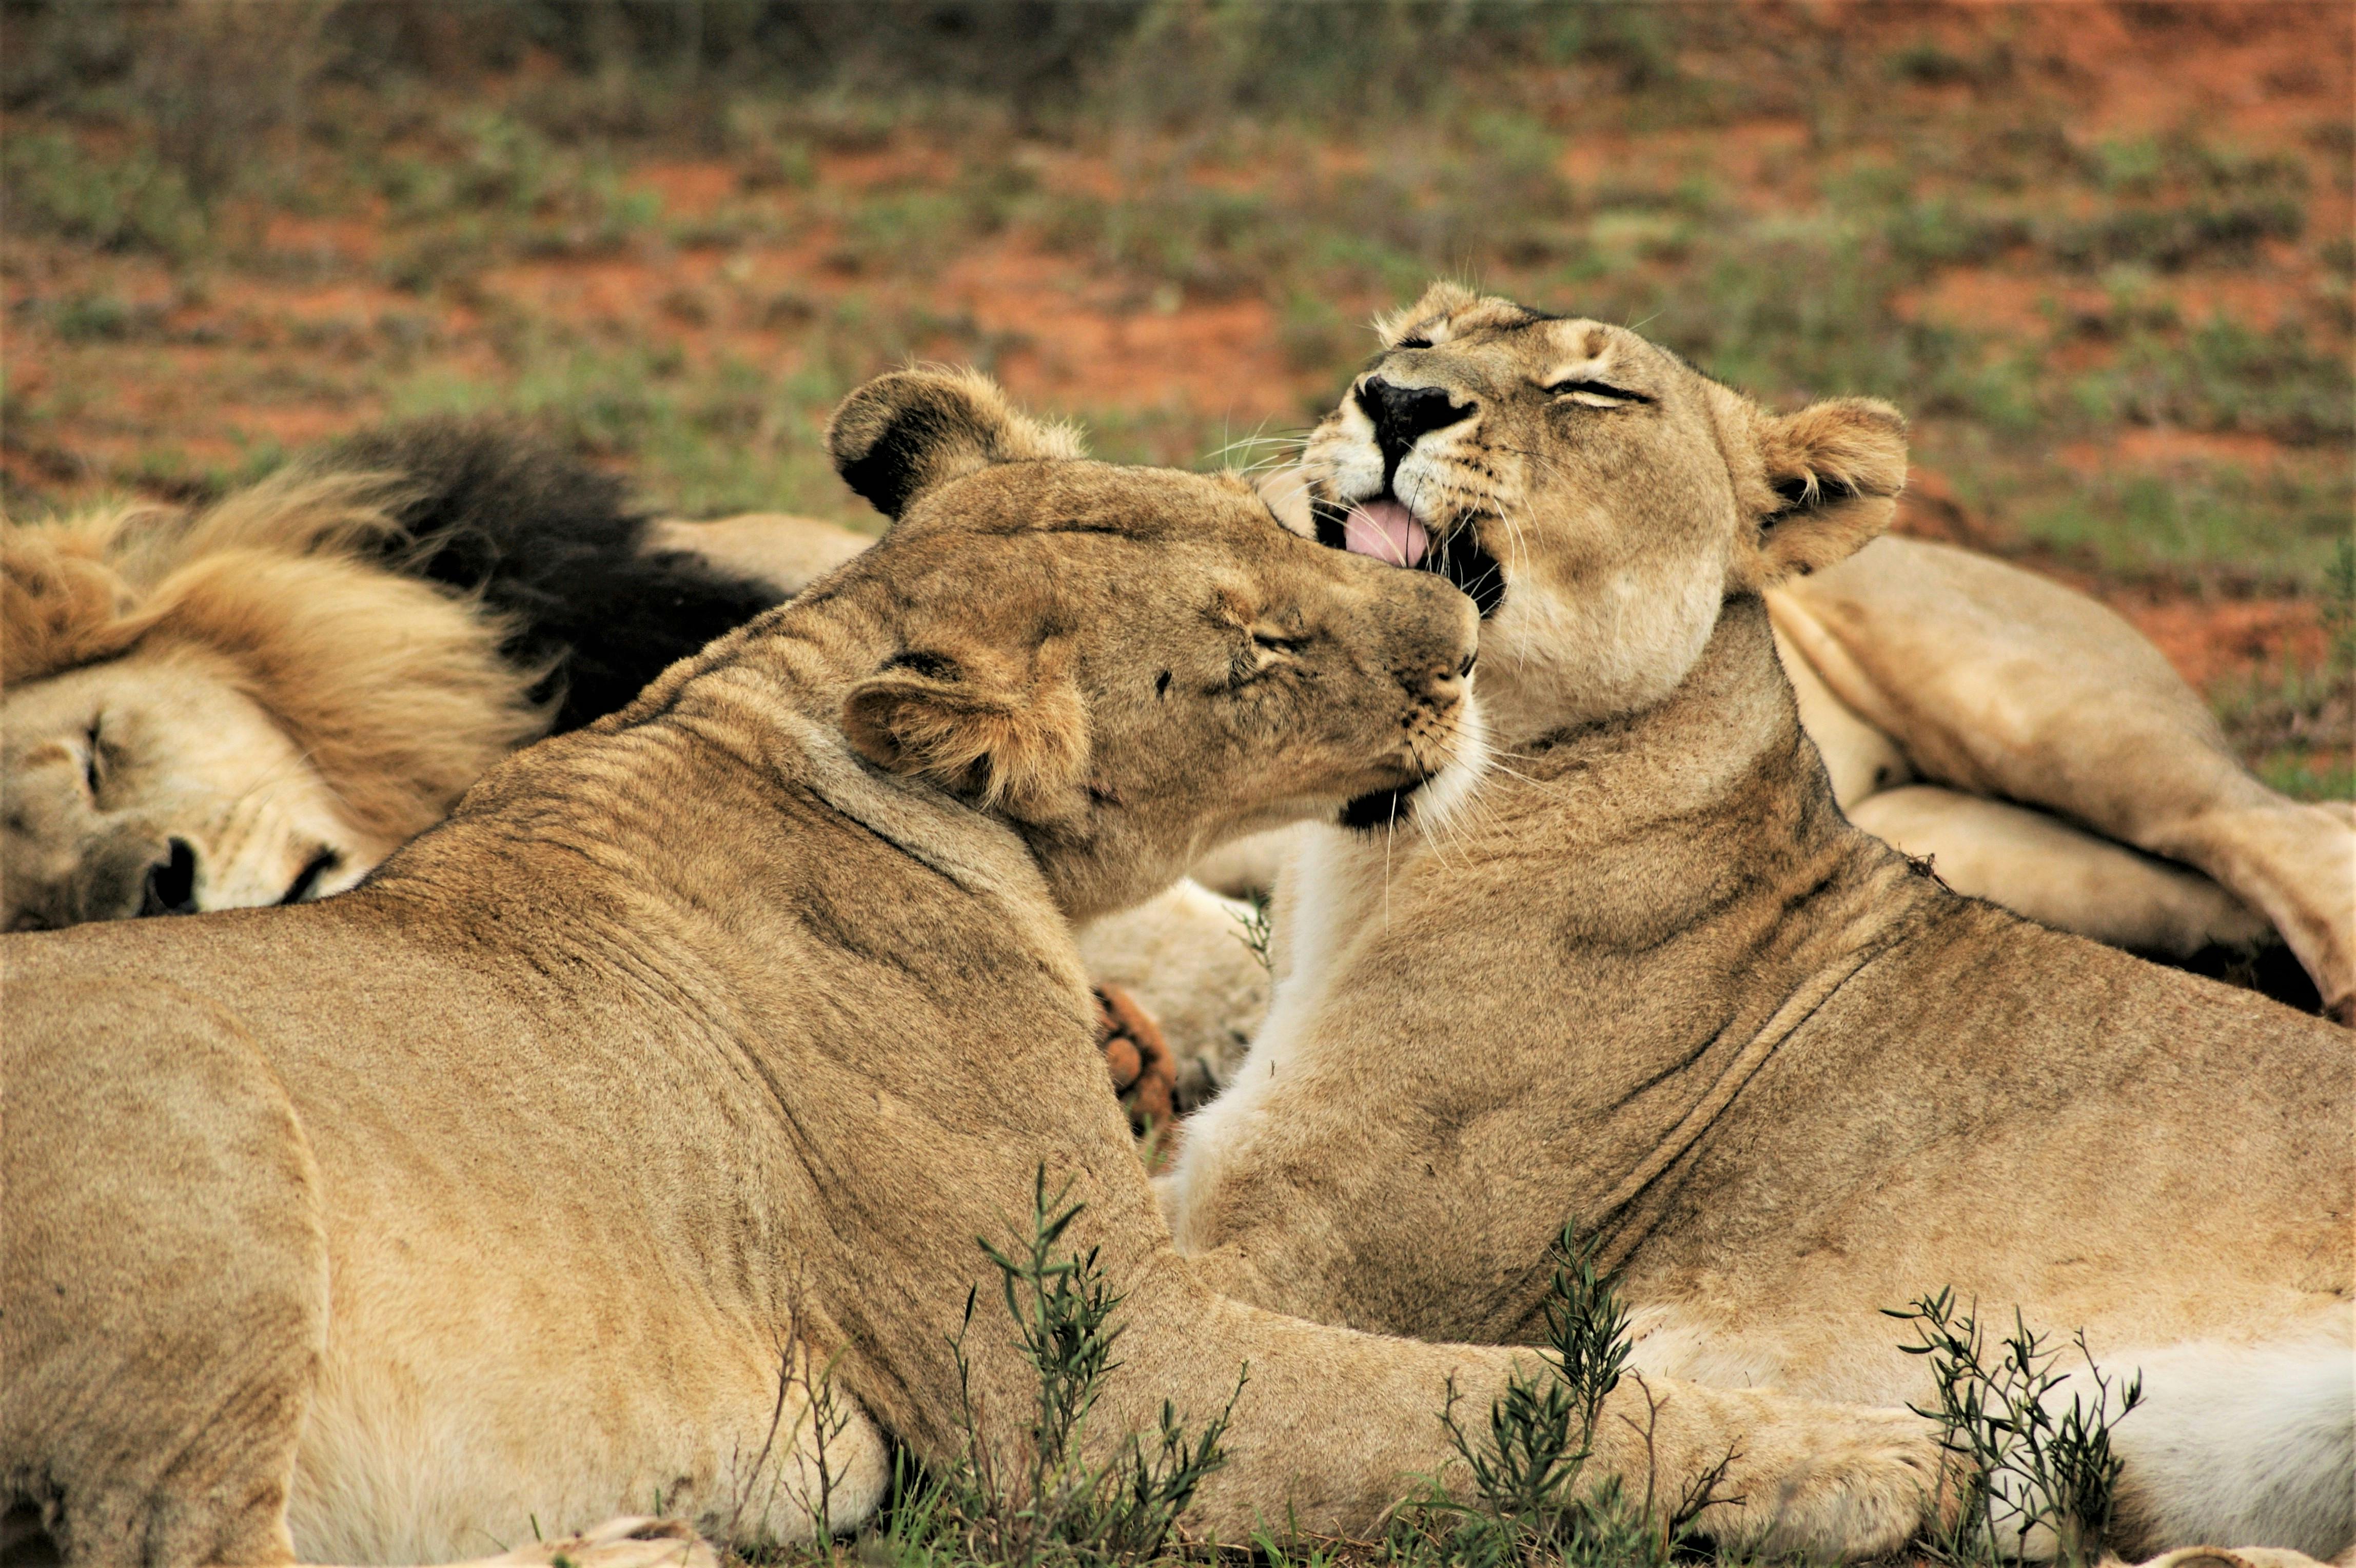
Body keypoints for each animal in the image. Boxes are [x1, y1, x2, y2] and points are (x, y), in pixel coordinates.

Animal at [1, 367, 1949, 1567]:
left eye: (1279, 531)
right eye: (1251, 648)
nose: (1464, 641)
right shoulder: (1102, 1381)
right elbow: (1502, 1400)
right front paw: (1883, 1463)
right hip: (203, 1157)